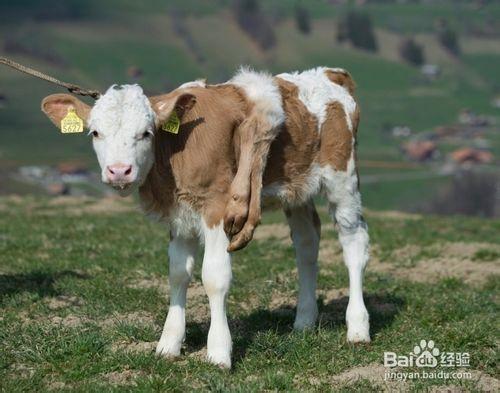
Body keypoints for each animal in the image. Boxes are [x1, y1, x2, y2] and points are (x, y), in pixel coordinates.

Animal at [41, 67, 370, 368]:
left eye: (146, 133)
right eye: (95, 132)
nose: (119, 171)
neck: (175, 150)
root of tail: (329, 73)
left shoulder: (218, 208)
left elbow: (214, 278)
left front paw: (219, 352)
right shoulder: (180, 216)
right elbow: (177, 274)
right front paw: (169, 344)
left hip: (342, 177)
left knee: (354, 243)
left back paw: (357, 327)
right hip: (296, 189)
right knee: (306, 244)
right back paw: (304, 321)